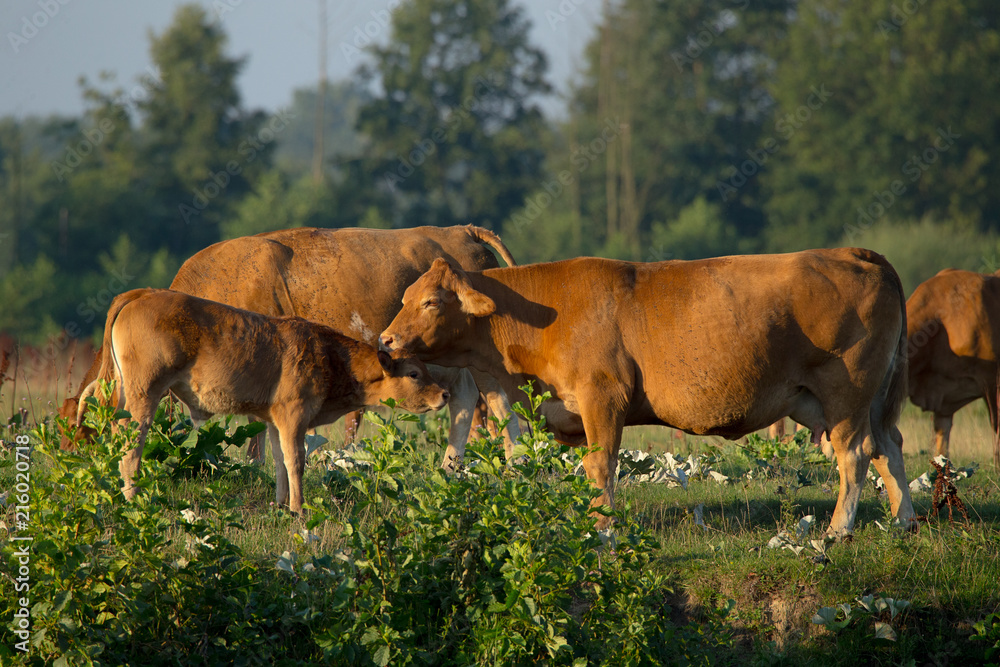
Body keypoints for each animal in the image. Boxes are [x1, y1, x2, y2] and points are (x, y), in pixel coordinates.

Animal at [64, 227, 516, 468]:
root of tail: (461, 231)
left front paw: (256, 466)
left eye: (82, 431)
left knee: (475, 402)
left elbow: (256, 431)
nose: (75, 470)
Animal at [80, 290, 448, 516]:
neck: (331, 356)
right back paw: (133, 496)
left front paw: (282, 505)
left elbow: (280, 462)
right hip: (144, 394)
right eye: (414, 373)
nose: (443, 394)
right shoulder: (294, 416)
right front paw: (299, 508)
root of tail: (143, 293)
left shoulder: (274, 420)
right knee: (131, 439)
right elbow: (296, 460)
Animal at [382, 250, 920, 536]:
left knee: (855, 454)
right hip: (857, 399)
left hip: (846, 391)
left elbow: (600, 465)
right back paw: (905, 522)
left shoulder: (603, 398)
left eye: (431, 302)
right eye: (405, 297)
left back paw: (838, 530)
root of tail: (855, 254)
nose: (386, 340)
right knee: (888, 447)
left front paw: (602, 527)